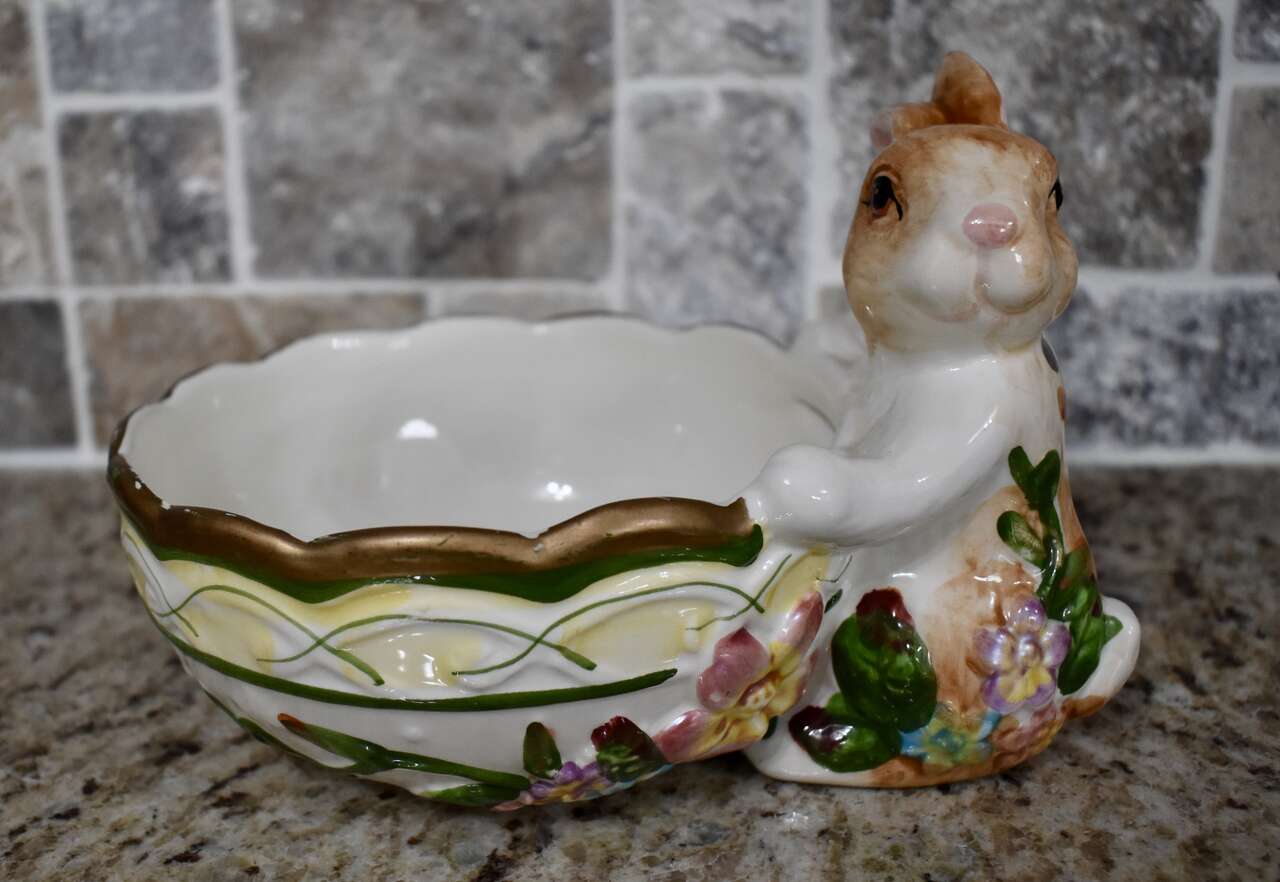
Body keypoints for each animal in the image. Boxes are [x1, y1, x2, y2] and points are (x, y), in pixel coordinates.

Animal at [746, 52, 1140, 786]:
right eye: (880, 195)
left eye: (1056, 194)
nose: (993, 225)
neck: (937, 358)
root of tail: (1065, 699)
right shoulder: (863, 415)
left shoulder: (972, 420)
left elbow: (891, 486)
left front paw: (777, 492)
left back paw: (800, 751)